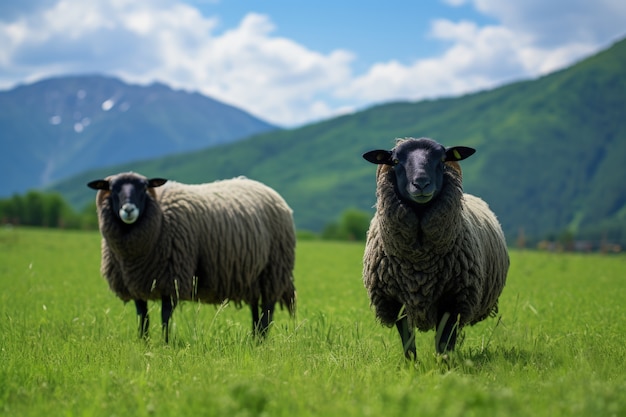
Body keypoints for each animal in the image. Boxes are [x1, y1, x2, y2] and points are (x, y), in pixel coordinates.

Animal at [86, 171, 298, 342]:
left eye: (144, 187)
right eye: (112, 188)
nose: (129, 210)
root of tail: (267, 189)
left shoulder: (172, 278)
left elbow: (165, 315)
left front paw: (165, 343)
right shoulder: (135, 284)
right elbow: (142, 316)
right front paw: (143, 342)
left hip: (273, 271)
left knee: (267, 310)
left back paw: (261, 340)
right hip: (251, 277)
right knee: (255, 309)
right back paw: (254, 339)